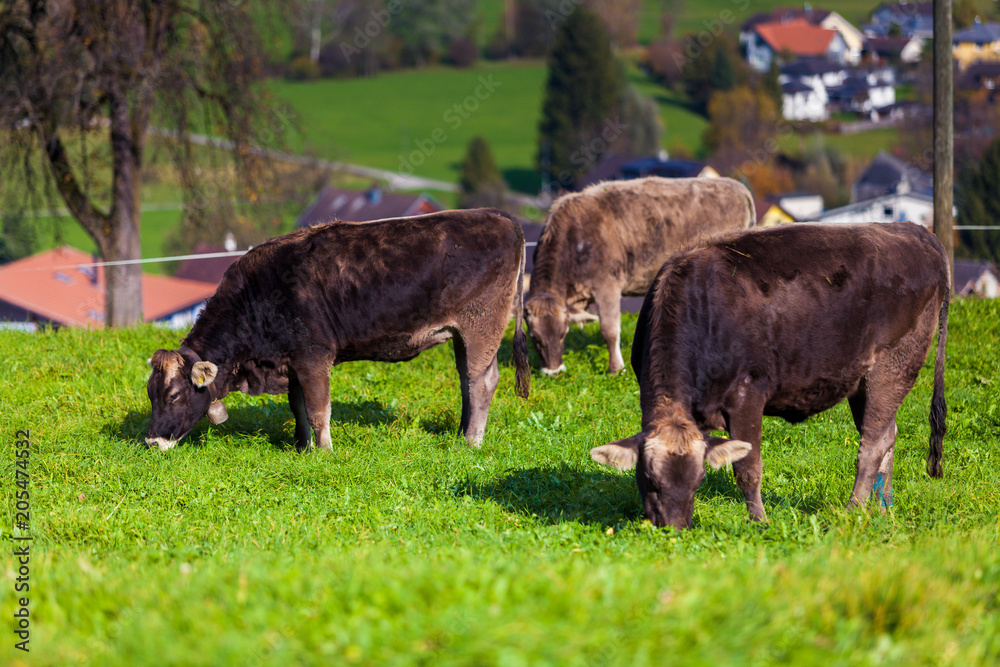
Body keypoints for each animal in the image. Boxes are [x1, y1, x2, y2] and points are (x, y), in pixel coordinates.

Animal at [145, 208, 530, 452]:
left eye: (174, 395)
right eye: (150, 394)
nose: (151, 441)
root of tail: (498, 215)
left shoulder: (313, 356)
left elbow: (319, 410)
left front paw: (325, 452)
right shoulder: (292, 361)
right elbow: (298, 406)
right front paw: (302, 448)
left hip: (482, 324)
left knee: (481, 381)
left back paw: (471, 442)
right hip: (464, 335)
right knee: (468, 380)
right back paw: (461, 432)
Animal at [525, 176, 756, 376]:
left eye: (562, 333)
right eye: (534, 338)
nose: (553, 372)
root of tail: (736, 186)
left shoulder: (607, 286)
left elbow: (609, 330)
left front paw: (616, 369)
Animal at [590, 222, 949, 530]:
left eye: (699, 480)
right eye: (649, 480)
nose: (674, 529)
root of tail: (915, 230)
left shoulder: (747, 394)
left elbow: (748, 468)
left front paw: (759, 522)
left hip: (894, 362)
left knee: (872, 445)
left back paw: (852, 510)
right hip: (864, 379)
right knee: (888, 434)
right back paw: (883, 509)